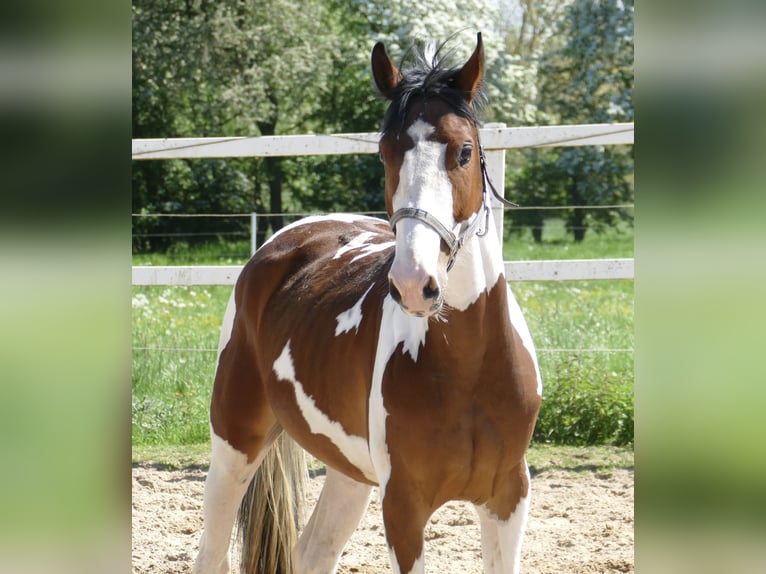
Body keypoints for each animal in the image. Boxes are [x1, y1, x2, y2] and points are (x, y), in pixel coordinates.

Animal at [192, 32, 544, 574]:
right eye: (384, 152)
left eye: (464, 151)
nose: (414, 283)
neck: (469, 366)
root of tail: (286, 239)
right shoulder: (403, 505)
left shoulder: (508, 498)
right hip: (235, 442)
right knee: (211, 551)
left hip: (349, 470)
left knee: (312, 551)